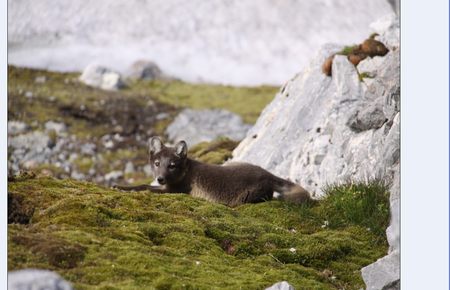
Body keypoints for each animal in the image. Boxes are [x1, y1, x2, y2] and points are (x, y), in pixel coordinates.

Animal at [114, 137, 312, 206]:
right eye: (156, 163)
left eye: (172, 165)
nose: (161, 178)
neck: (185, 172)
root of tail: (267, 174)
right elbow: (144, 184)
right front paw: (120, 186)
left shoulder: (174, 191)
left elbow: (144, 187)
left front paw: (123, 188)